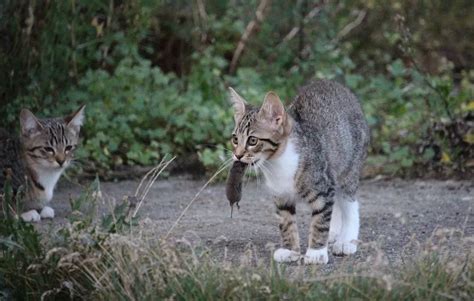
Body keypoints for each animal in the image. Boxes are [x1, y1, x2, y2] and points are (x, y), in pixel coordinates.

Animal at [230, 79, 370, 262]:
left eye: (252, 140)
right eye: (235, 139)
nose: (238, 155)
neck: (277, 163)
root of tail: (334, 83)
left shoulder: (323, 188)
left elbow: (320, 221)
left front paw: (316, 252)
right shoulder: (281, 196)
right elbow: (286, 222)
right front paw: (290, 250)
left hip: (348, 168)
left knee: (349, 204)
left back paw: (346, 241)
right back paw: (334, 233)